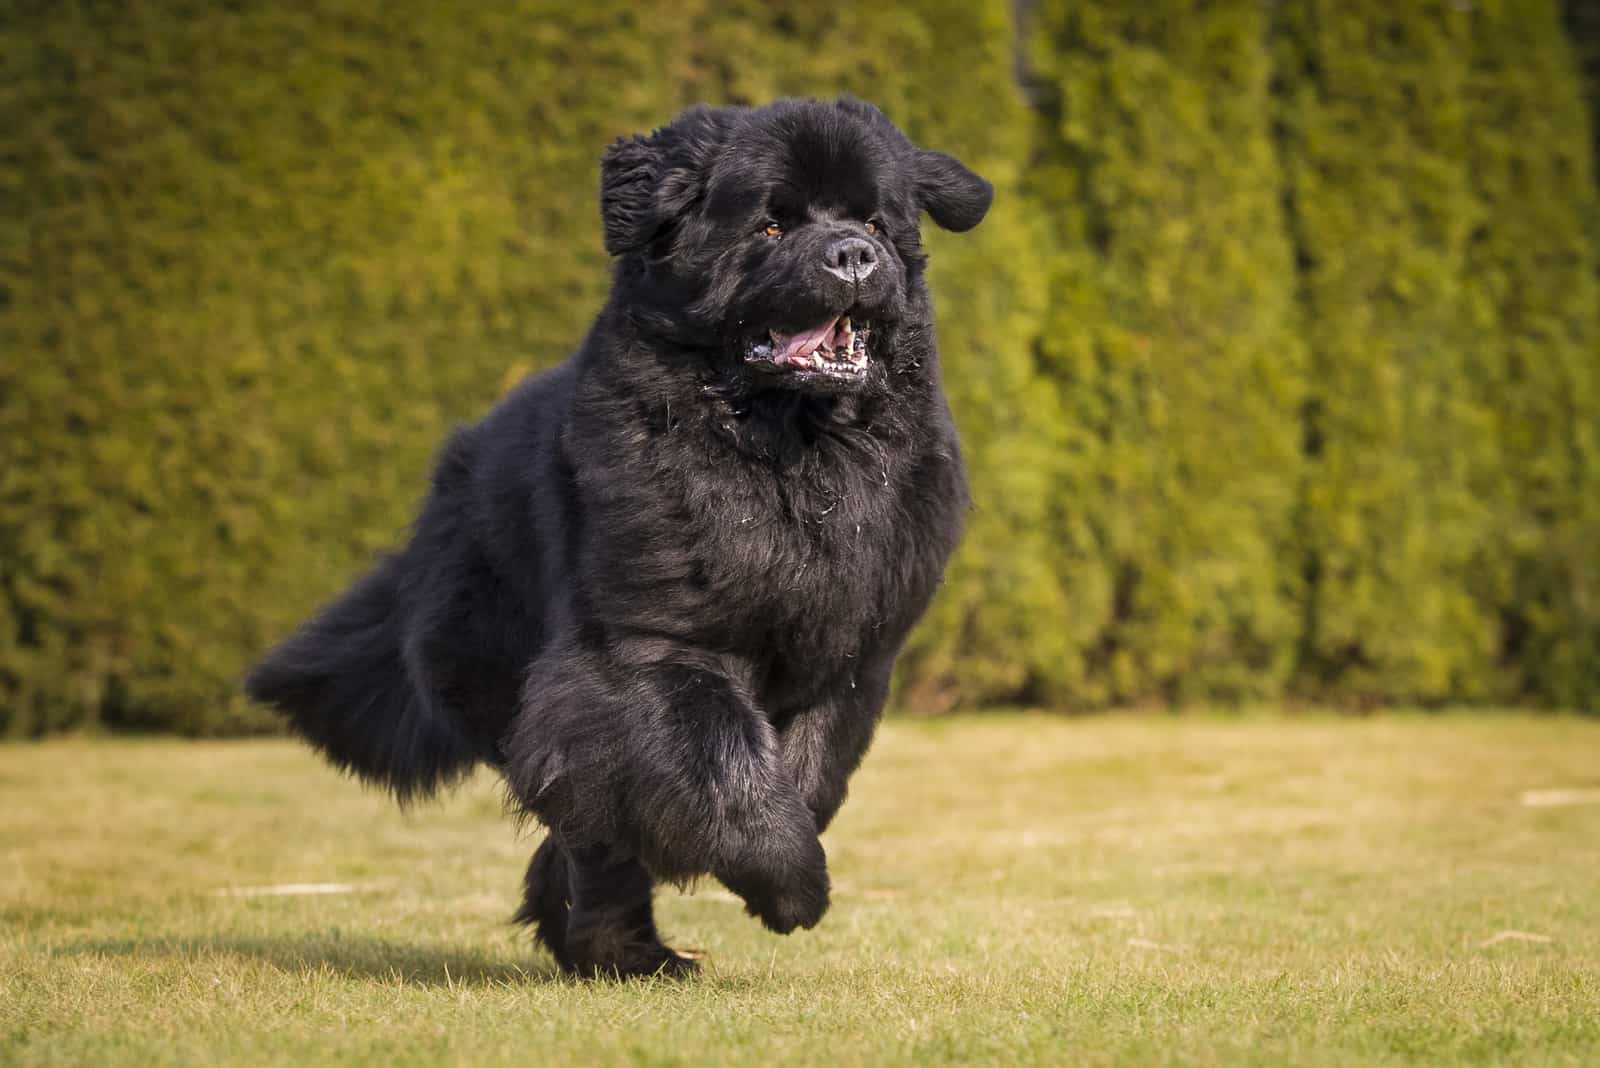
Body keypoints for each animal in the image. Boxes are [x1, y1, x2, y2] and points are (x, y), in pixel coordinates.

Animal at [241, 99, 985, 978]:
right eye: (771, 226)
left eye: (875, 221)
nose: (855, 255)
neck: (788, 448)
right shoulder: (652, 645)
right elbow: (718, 759)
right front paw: (789, 883)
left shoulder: (852, 651)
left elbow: (807, 771)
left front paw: (776, 870)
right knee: (585, 819)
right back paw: (621, 949)